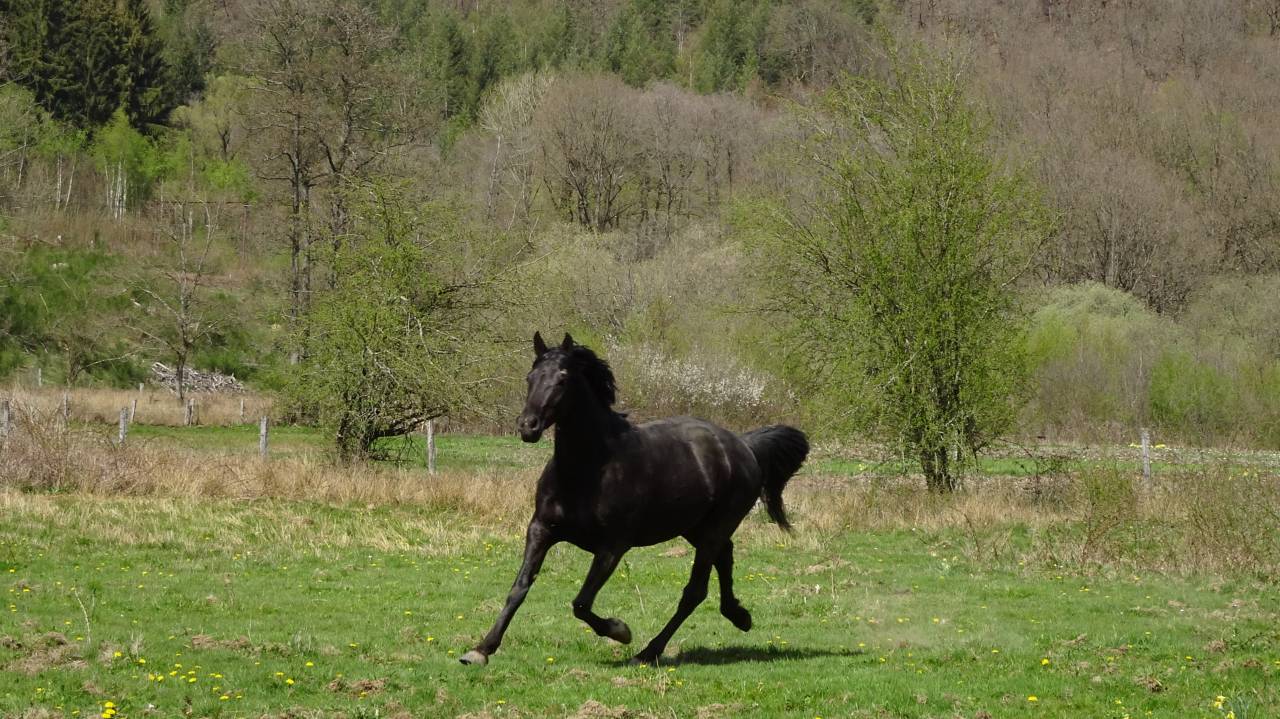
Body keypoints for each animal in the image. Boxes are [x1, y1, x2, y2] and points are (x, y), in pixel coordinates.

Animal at [459, 332, 809, 667]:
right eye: (530, 377)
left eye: (562, 379)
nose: (527, 426)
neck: (589, 468)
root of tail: (744, 446)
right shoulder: (541, 529)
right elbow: (519, 588)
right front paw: (481, 650)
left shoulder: (612, 546)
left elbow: (581, 603)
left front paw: (620, 631)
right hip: (693, 527)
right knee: (725, 556)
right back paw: (739, 616)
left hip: (714, 529)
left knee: (694, 591)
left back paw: (648, 651)